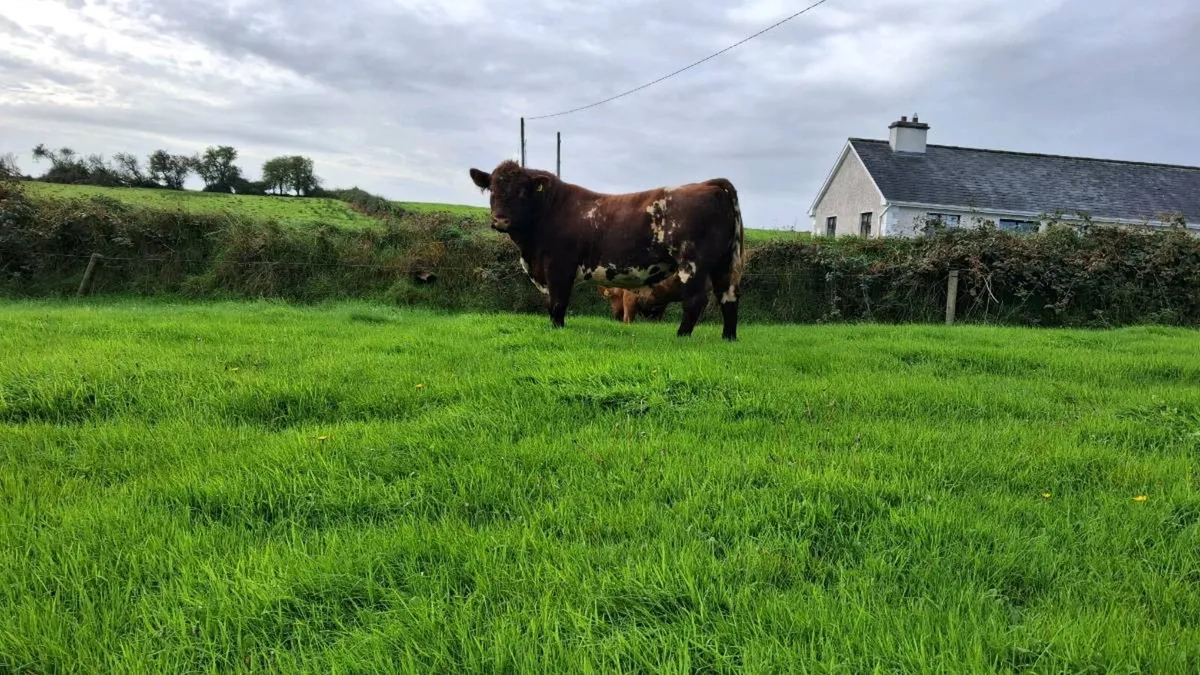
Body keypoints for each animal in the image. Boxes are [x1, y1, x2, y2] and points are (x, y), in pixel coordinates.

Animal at [467, 160, 745, 341]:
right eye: (492, 190)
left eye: (523, 192)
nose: (500, 220)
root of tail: (706, 185)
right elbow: (550, 303)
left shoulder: (559, 266)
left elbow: (557, 302)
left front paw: (557, 329)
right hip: (724, 262)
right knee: (728, 296)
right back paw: (728, 337)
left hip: (693, 262)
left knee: (696, 299)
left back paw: (681, 335)